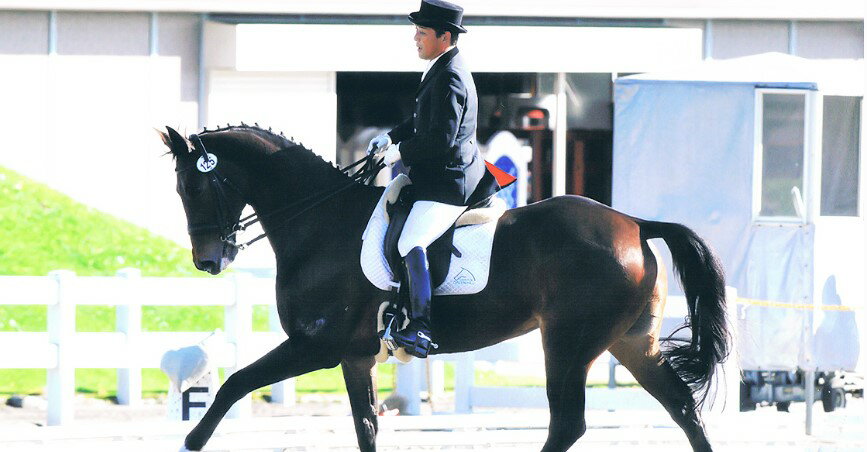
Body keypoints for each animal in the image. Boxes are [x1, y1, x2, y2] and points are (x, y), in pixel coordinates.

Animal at [159, 124, 728, 452]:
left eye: (193, 185)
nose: (208, 261)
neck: (319, 222)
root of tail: (635, 223)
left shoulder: (314, 346)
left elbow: (233, 385)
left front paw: (189, 441)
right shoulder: (353, 356)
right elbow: (367, 427)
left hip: (568, 345)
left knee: (568, 425)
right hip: (631, 343)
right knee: (682, 409)